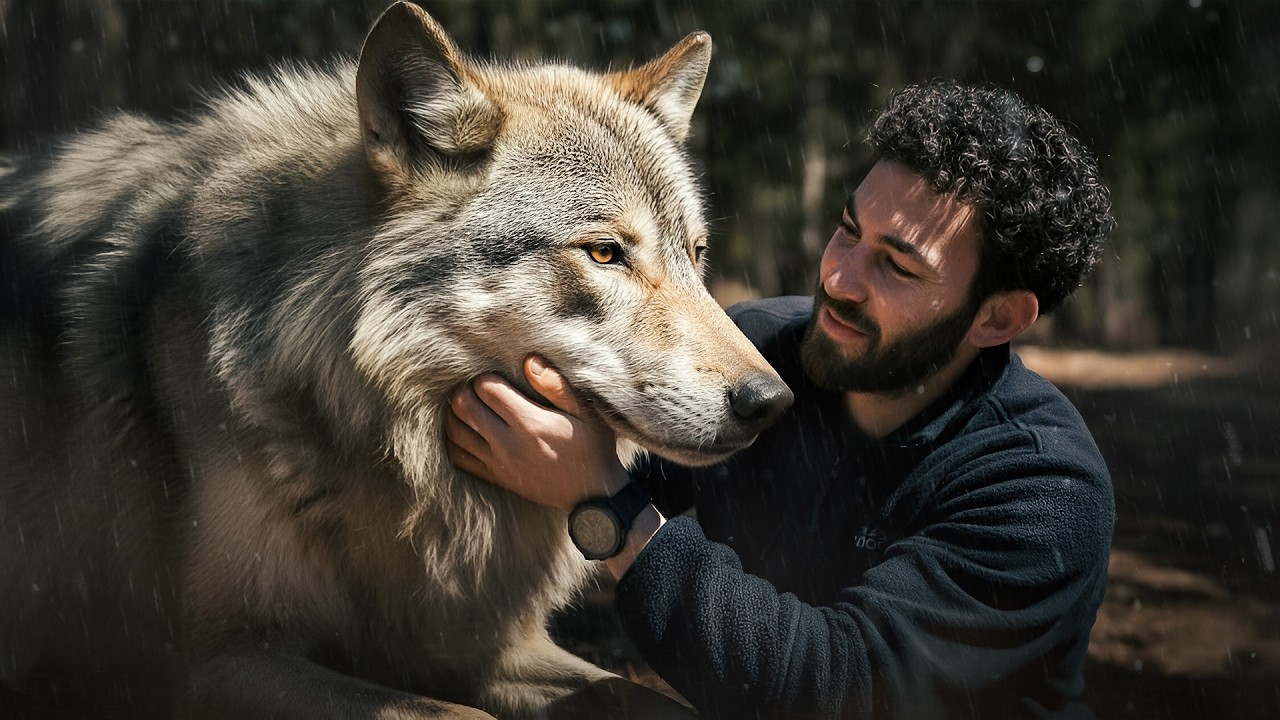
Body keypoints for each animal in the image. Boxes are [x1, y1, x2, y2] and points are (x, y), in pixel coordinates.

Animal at [0, 3, 793, 718]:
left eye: (696, 255)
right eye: (604, 253)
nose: (771, 403)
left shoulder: (482, 645)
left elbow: (644, 695)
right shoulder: (211, 658)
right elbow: (452, 715)